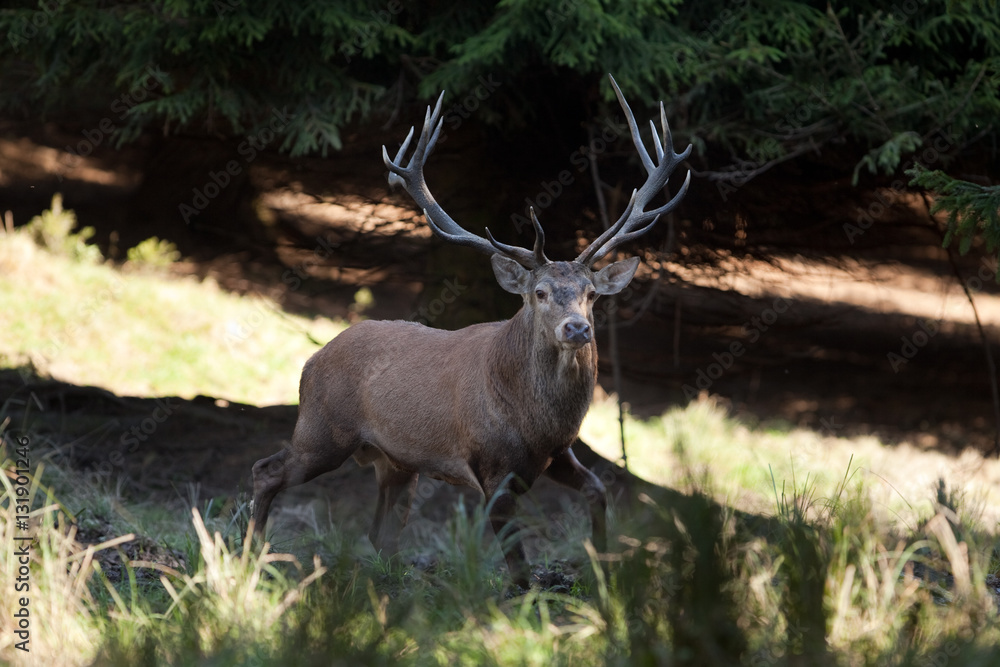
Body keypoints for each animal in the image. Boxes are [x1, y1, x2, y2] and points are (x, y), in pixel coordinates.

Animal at [251, 74, 690, 587]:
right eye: (540, 292)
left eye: (591, 293)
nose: (577, 328)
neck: (536, 421)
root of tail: (311, 359)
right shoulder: (491, 467)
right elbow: (518, 568)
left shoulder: (557, 452)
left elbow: (598, 489)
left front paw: (604, 571)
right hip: (322, 429)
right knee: (266, 470)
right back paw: (250, 556)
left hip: (394, 460)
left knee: (379, 532)